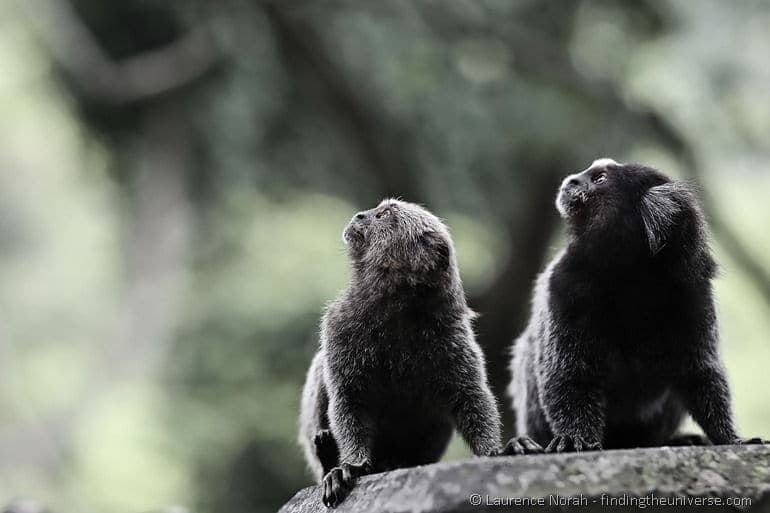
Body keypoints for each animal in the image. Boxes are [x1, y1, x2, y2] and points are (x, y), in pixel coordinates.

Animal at [296, 198, 500, 506]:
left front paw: (495, 451)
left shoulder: (452, 338)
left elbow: (470, 396)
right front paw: (352, 464)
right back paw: (328, 458)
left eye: (383, 215)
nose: (360, 215)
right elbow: (348, 399)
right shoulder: (338, 328)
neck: (397, 310)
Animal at [504, 158, 760, 454]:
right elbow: (568, 373)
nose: (571, 181)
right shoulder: (564, 283)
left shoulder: (693, 291)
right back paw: (524, 442)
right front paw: (575, 437)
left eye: (600, 179)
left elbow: (700, 372)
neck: (630, 275)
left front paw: (730, 436)